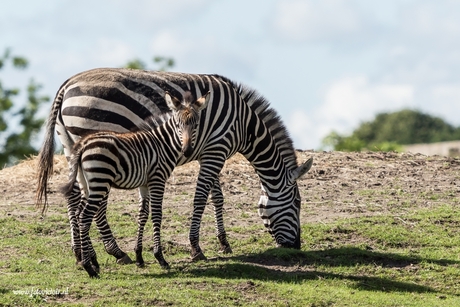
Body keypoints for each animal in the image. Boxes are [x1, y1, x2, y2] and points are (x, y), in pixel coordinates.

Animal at [36, 68, 312, 266]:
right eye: (298, 203)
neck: (244, 124)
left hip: (71, 147)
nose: (297, 246)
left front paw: (223, 242)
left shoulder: (210, 151)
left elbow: (217, 197)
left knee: (73, 195)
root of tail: (67, 84)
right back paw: (115, 251)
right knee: (96, 202)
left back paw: (81, 253)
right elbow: (200, 198)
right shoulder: (216, 150)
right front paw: (196, 248)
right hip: (95, 142)